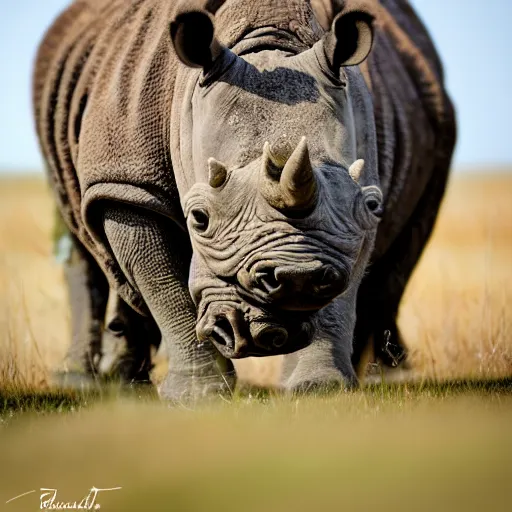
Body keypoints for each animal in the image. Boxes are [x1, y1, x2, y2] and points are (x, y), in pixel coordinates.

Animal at [33, 0, 456, 400]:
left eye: (369, 206)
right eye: (199, 218)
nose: (296, 279)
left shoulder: (354, 210)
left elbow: (344, 287)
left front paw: (320, 390)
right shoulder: (125, 185)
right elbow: (161, 283)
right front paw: (199, 396)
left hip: (439, 120)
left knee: (400, 263)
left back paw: (389, 377)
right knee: (80, 240)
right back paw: (89, 380)